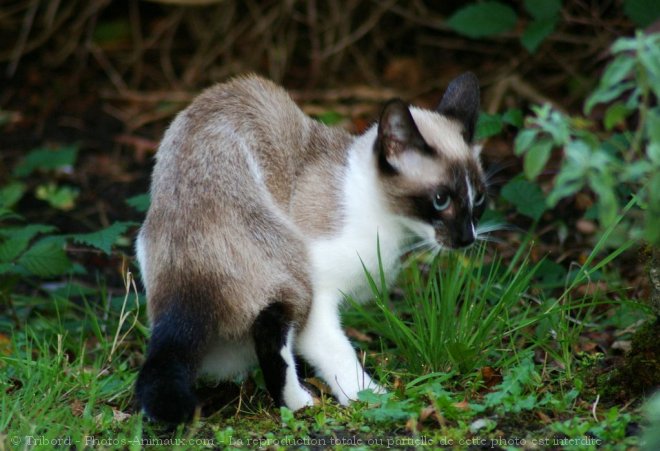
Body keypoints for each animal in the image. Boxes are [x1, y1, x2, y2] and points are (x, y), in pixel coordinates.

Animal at [134, 71, 488, 424]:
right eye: (440, 200)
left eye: (479, 199)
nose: (467, 238)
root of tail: (188, 281)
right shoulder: (320, 303)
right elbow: (340, 357)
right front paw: (374, 399)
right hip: (294, 278)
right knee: (270, 332)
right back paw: (303, 403)